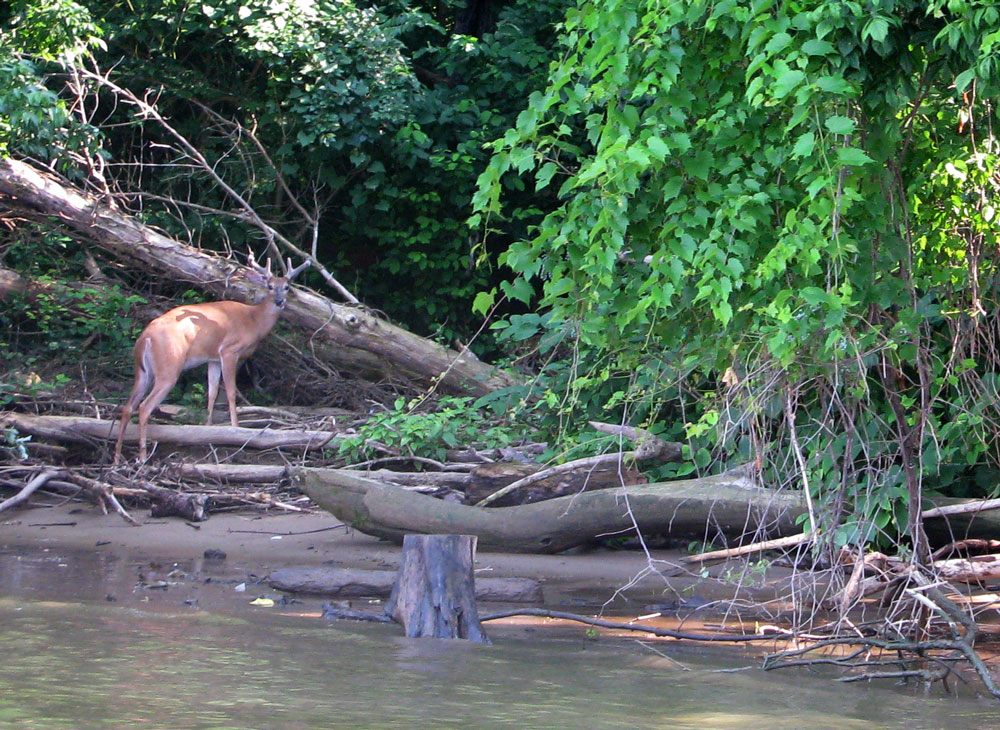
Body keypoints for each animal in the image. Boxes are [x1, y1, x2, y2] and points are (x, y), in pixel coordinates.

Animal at [113, 251, 310, 463]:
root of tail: (145, 338)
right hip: (168, 367)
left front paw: (207, 430)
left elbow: (212, 392)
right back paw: (142, 457)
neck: (253, 320)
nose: (280, 302)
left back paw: (116, 457)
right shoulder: (229, 351)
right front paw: (235, 429)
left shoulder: (212, 359)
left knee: (127, 407)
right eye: (270, 286)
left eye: (287, 287)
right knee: (144, 407)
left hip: (142, 371)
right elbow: (231, 392)